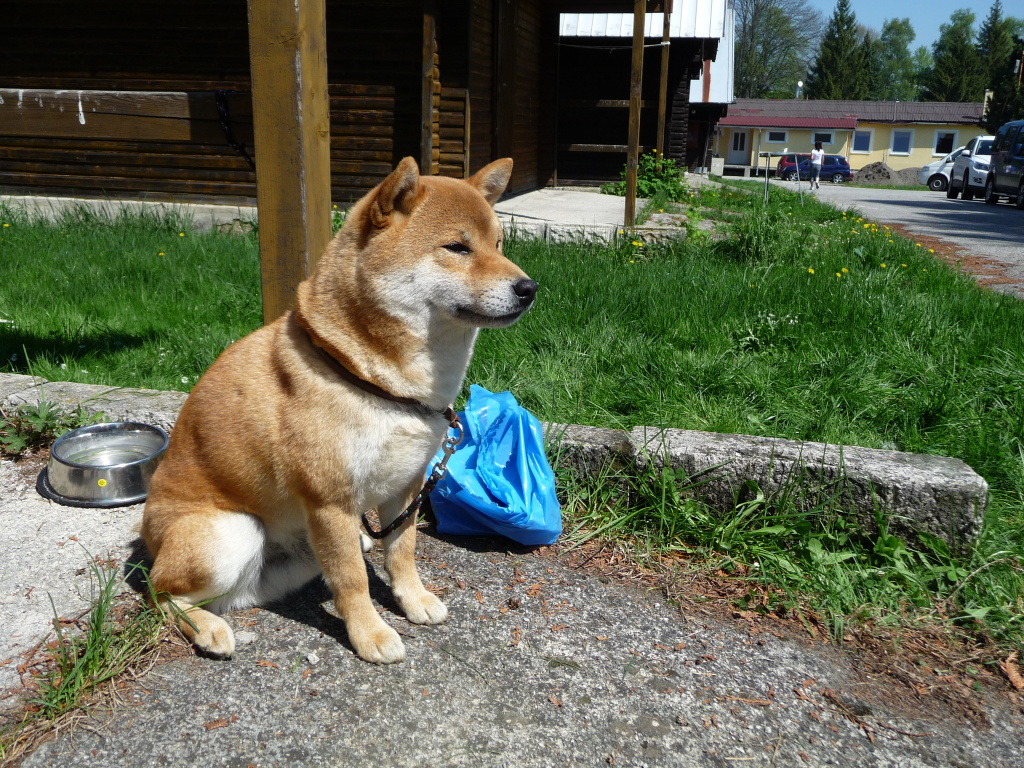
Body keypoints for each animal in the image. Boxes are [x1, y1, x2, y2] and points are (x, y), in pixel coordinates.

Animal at [140, 157, 536, 664]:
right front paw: (370, 634)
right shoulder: (330, 501)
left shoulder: (407, 486)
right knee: (161, 593)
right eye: (457, 247)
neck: (377, 381)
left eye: (500, 244)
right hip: (231, 534)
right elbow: (353, 580)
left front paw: (414, 599)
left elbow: (401, 552)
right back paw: (209, 629)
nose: (529, 287)